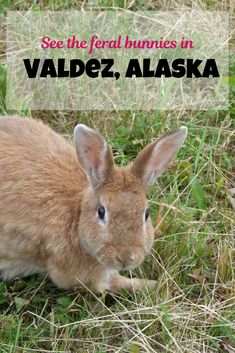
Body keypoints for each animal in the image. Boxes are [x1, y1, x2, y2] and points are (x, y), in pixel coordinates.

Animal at [0, 115, 188, 292]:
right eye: (101, 212)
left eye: (146, 214)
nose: (125, 257)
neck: (76, 217)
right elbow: (117, 283)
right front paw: (154, 285)